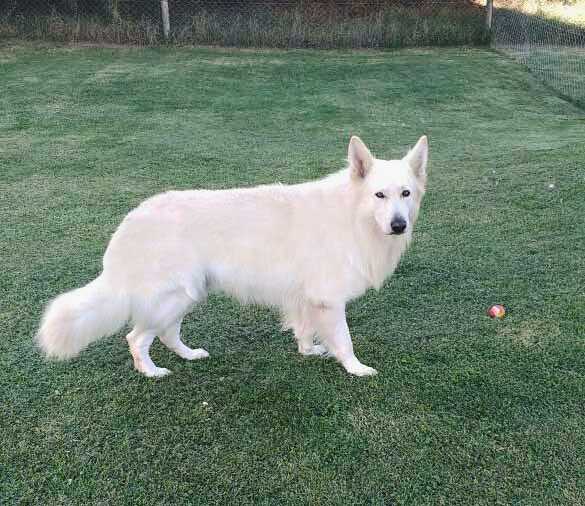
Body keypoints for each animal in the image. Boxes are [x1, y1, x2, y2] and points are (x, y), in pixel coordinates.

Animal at [37, 136, 428, 378]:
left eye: (406, 193)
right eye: (379, 195)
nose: (399, 225)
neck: (353, 215)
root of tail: (130, 221)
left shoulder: (306, 298)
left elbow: (304, 330)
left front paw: (307, 351)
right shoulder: (328, 300)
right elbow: (344, 341)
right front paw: (355, 369)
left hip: (187, 295)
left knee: (166, 334)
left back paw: (190, 355)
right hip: (173, 297)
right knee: (137, 338)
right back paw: (152, 372)